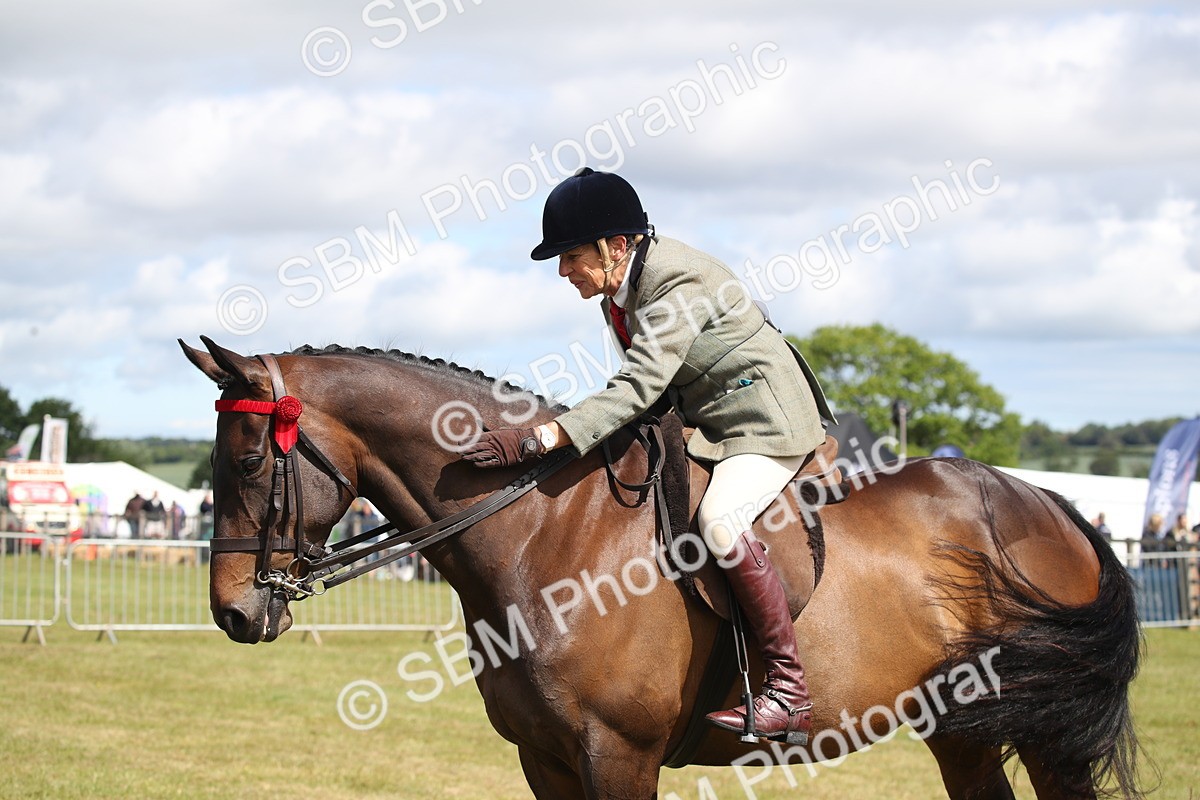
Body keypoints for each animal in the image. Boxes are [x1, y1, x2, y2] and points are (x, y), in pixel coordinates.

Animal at [181, 336, 1144, 800]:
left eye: (250, 461)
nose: (233, 612)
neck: (542, 533)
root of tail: (1049, 504)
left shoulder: (619, 753)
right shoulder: (547, 761)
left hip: (1047, 732)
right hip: (962, 727)